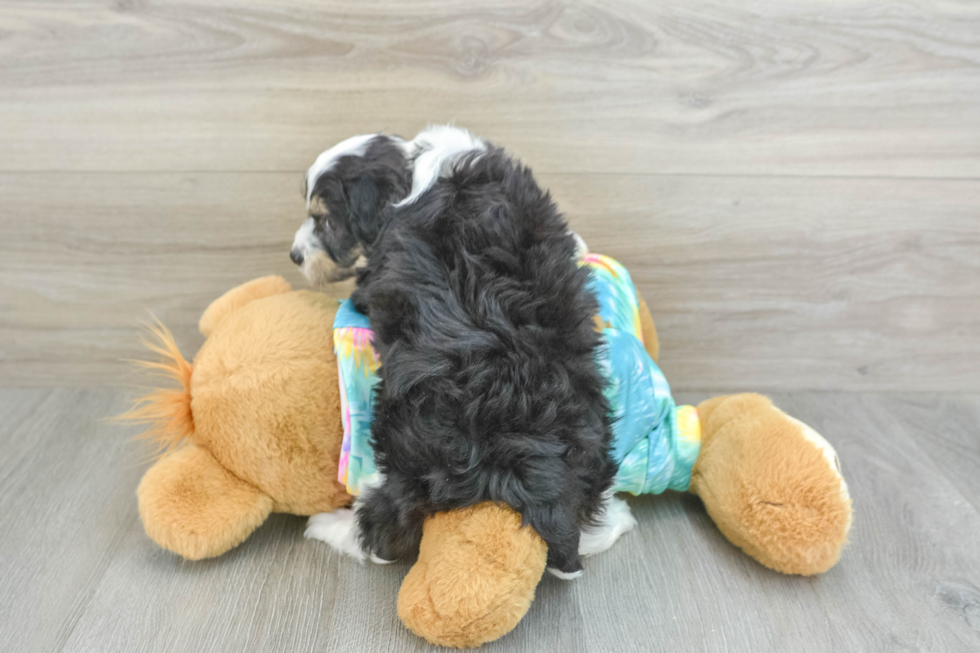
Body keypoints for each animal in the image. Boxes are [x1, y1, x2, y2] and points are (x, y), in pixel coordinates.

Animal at [294, 125, 640, 572]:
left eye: (324, 220)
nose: (295, 255)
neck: (409, 171)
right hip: (593, 440)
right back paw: (618, 516)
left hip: (405, 450)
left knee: (384, 532)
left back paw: (329, 524)